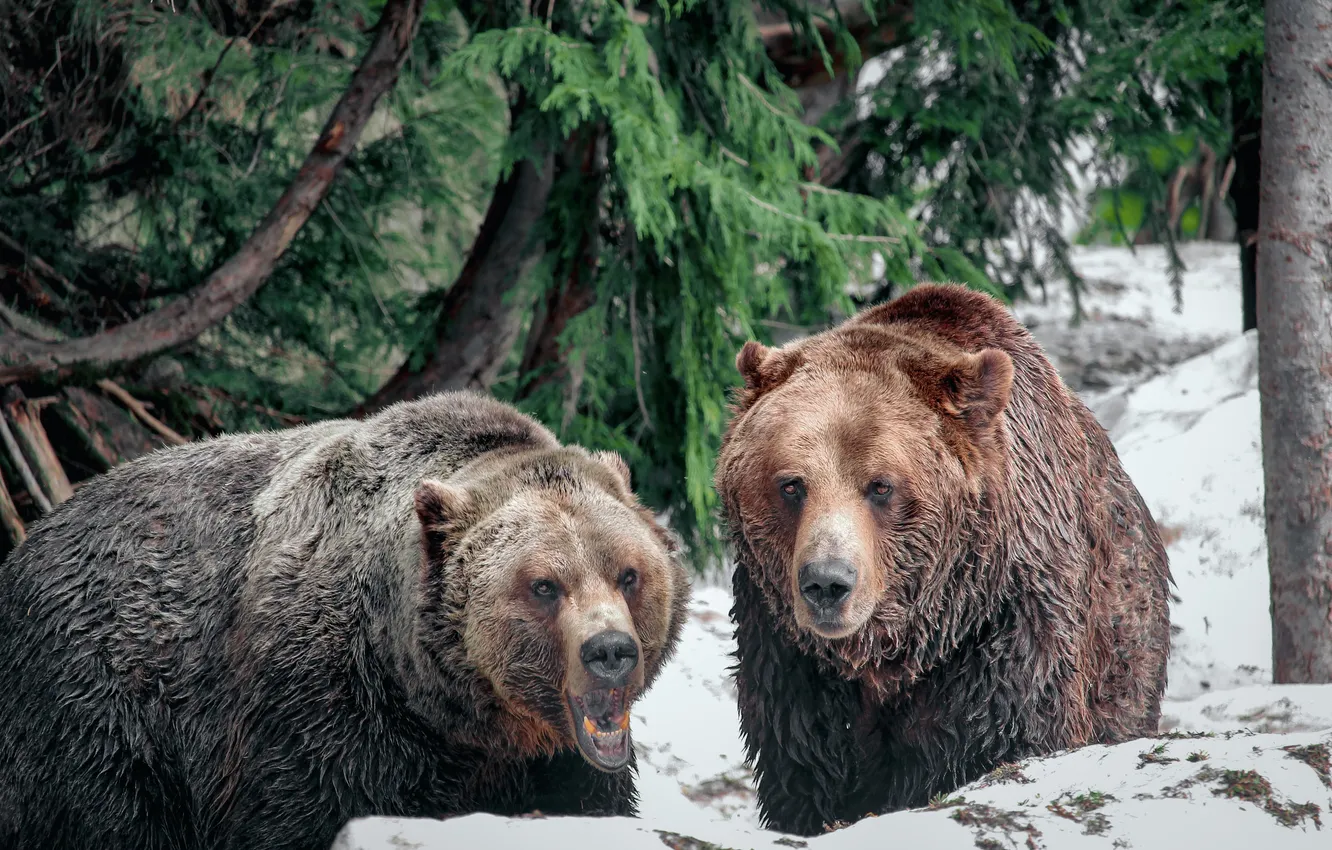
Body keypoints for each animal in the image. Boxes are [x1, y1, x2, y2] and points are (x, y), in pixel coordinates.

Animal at [0, 390, 690, 850]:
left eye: (629, 573)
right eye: (544, 585)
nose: (610, 651)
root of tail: (34, 534)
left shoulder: (560, 762)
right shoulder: (322, 716)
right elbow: (294, 812)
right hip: (100, 708)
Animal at [715, 283, 1171, 836]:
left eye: (881, 485)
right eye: (791, 484)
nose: (826, 583)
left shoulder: (1002, 635)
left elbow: (1001, 737)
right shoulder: (788, 659)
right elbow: (805, 772)